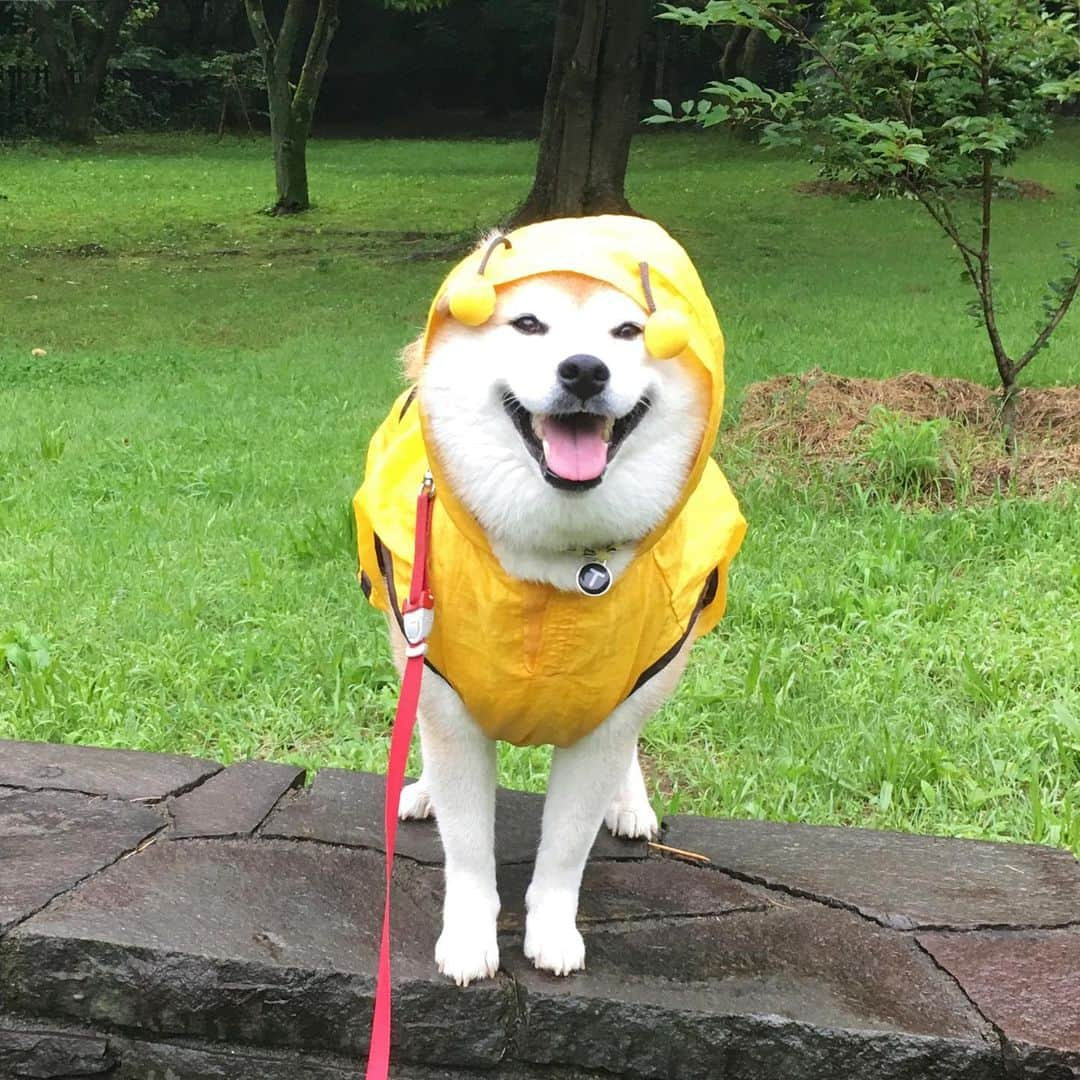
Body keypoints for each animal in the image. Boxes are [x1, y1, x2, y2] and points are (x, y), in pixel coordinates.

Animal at [354, 217, 743, 989]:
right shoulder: (449, 704)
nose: (585, 369)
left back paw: (630, 804)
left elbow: (566, 848)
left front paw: (553, 931)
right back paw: (420, 791)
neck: (557, 569)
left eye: (629, 330)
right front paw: (469, 936)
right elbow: (467, 847)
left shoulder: (609, 713)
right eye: (529, 323)